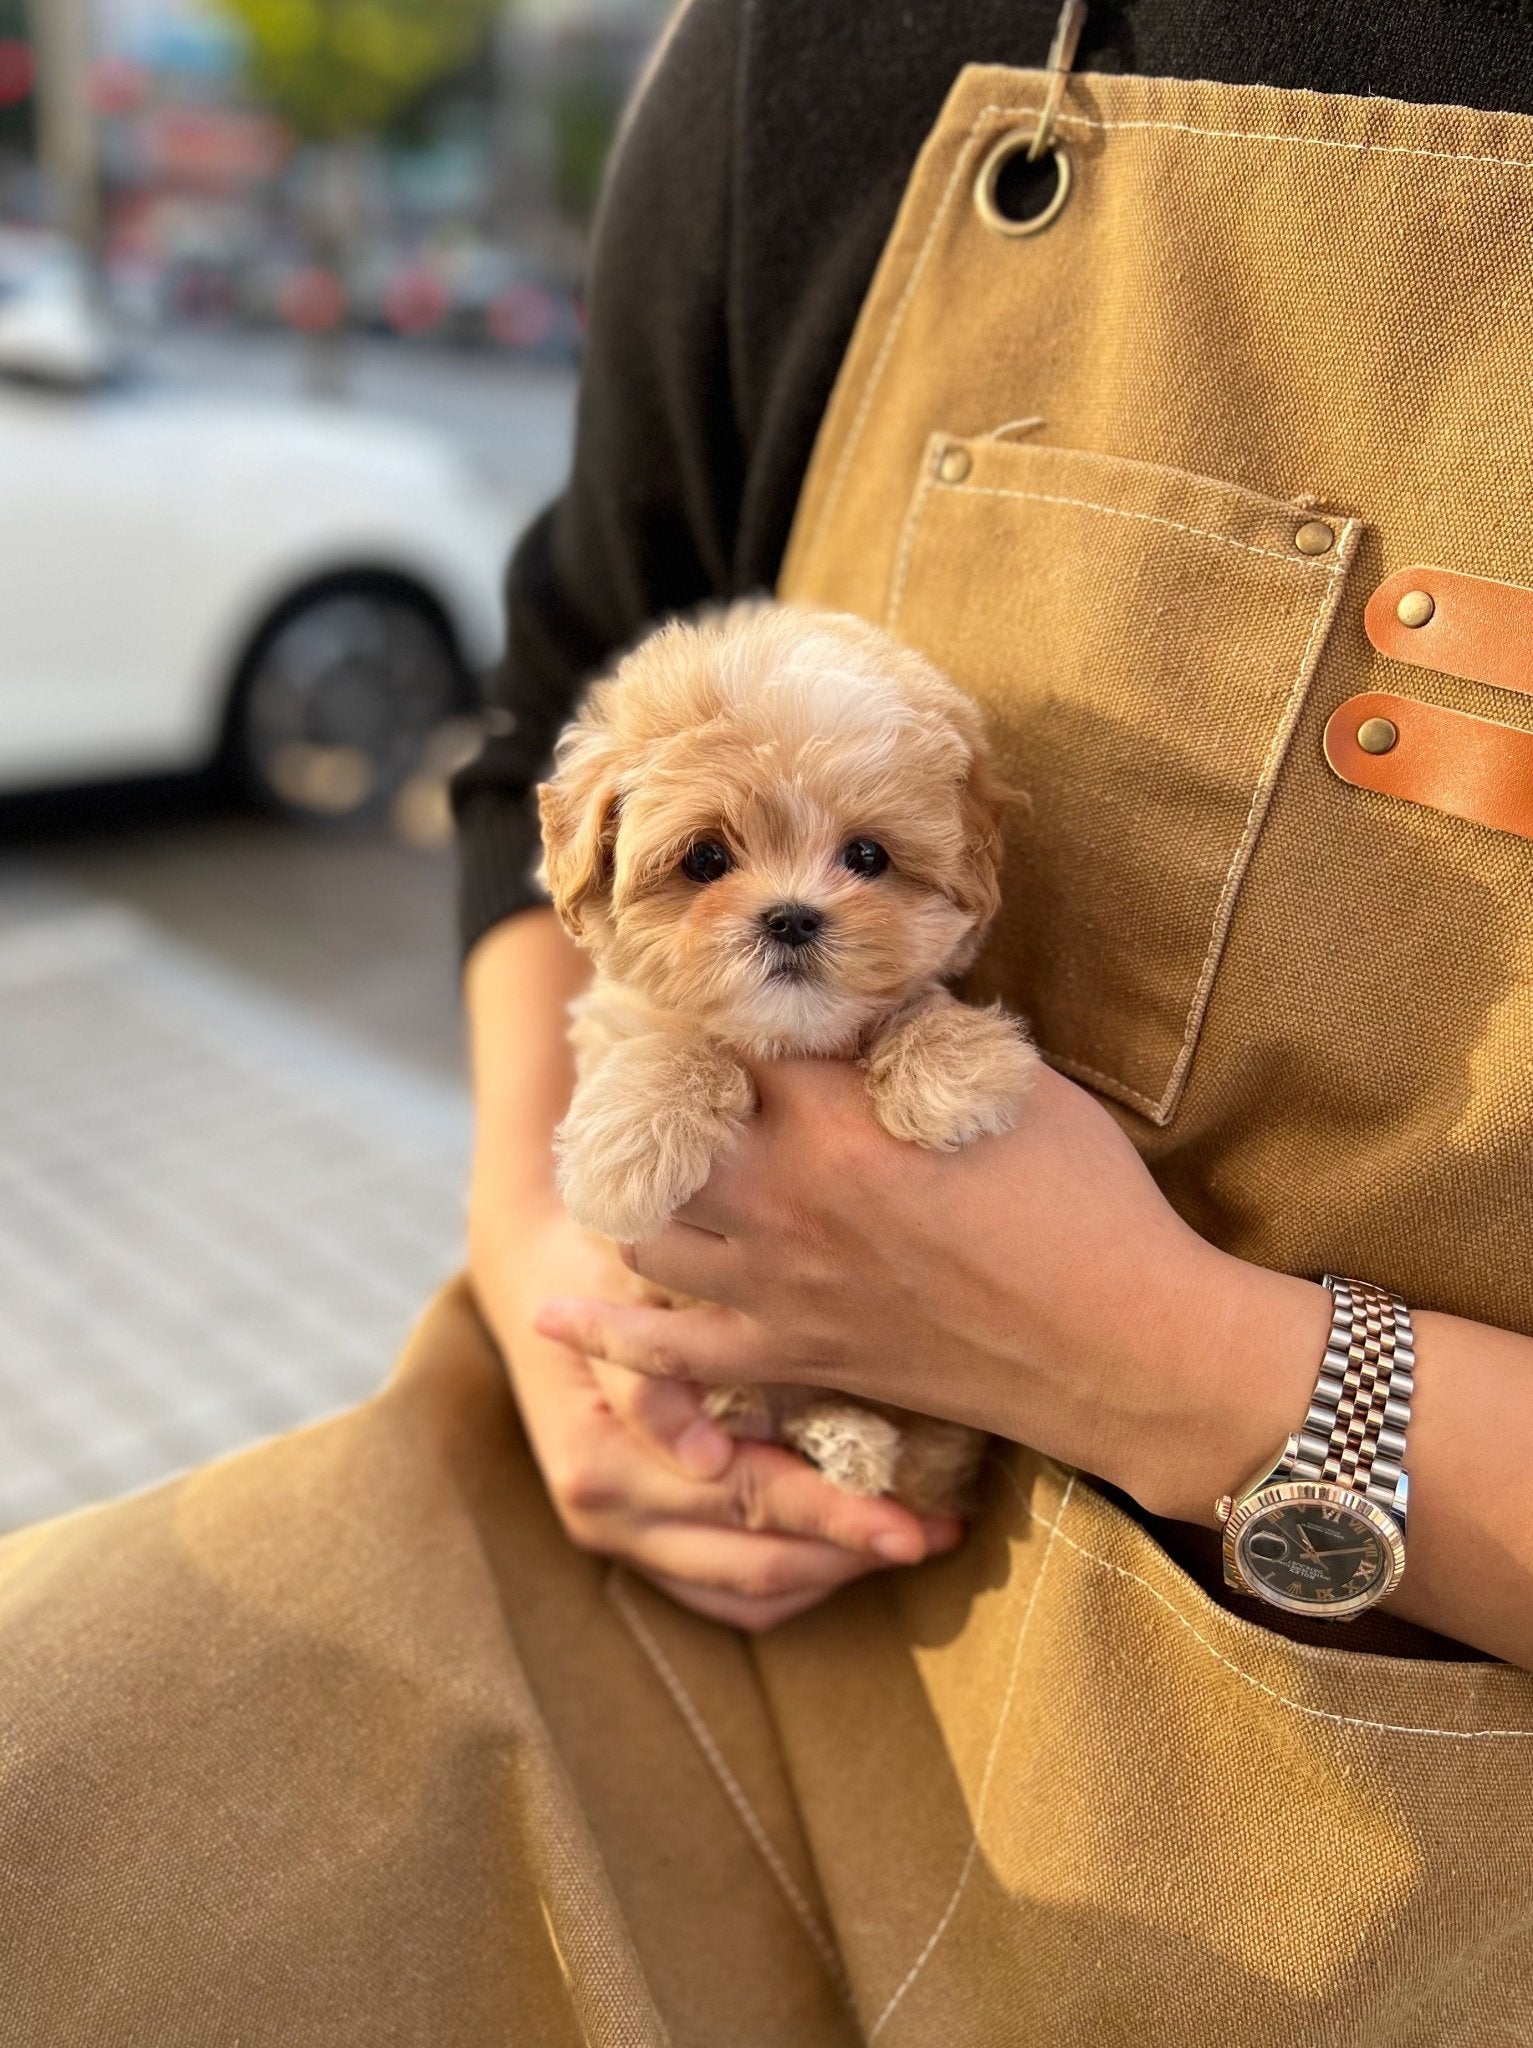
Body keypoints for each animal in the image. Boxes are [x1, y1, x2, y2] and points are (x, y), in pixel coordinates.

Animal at [532, 598, 1035, 1515]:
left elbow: (915, 1003)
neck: (785, 1037)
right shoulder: (619, 1026)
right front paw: (629, 1153)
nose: (793, 916)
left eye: (868, 855)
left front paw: (948, 1070)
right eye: (704, 858)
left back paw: (853, 1443)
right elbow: (674, 1044)